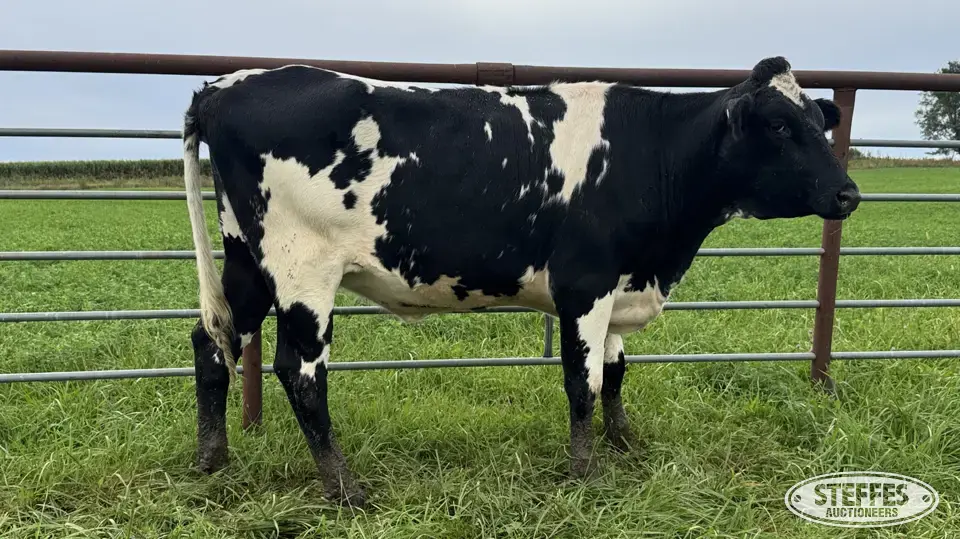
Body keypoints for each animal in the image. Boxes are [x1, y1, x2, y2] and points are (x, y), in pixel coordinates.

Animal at [181, 56, 860, 507]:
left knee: (211, 345)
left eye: (817, 121)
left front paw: (626, 445)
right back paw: (344, 486)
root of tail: (226, 86)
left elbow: (615, 372)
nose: (847, 194)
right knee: (299, 373)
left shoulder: (620, 285)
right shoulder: (585, 285)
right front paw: (585, 474)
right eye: (779, 126)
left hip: (247, 263)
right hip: (302, 268)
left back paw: (212, 460)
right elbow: (583, 382)